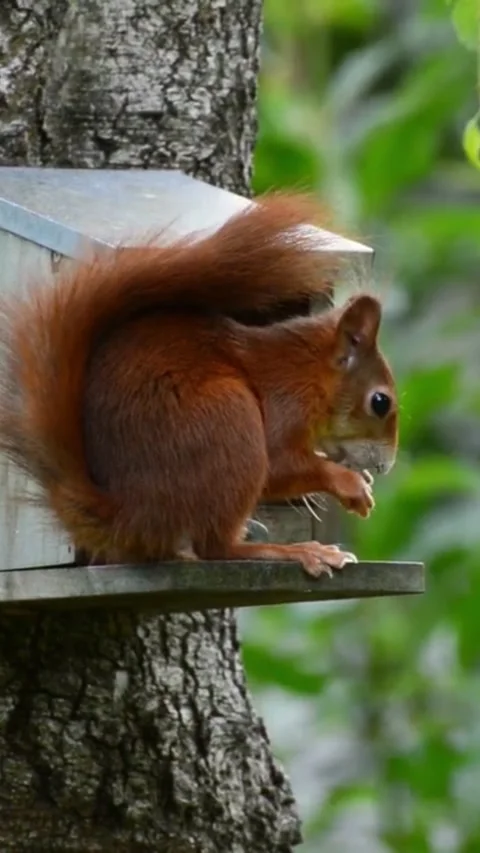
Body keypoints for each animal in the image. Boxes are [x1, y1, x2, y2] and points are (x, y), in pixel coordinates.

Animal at [0, 194, 398, 578]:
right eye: (381, 402)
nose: (386, 466)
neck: (310, 372)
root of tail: (130, 516)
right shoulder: (287, 401)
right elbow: (280, 464)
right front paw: (349, 483)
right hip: (229, 422)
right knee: (217, 548)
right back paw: (295, 551)